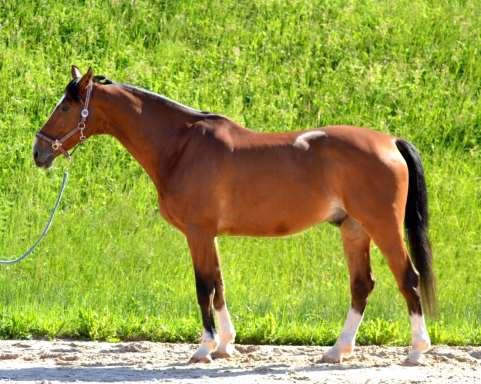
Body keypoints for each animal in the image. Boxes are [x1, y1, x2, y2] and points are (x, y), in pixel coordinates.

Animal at [32, 66, 436, 364]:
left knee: (408, 278)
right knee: (361, 285)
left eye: (65, 107)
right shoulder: (209, 235)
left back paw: (417, 351)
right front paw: (226, 344)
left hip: (383, 227)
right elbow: (219, 284)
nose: (39, 152)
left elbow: (204, 288)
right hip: (354, 229)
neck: (181, 146)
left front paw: (204, 348)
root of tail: (390, 142)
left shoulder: (197, 232)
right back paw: (338, 351)